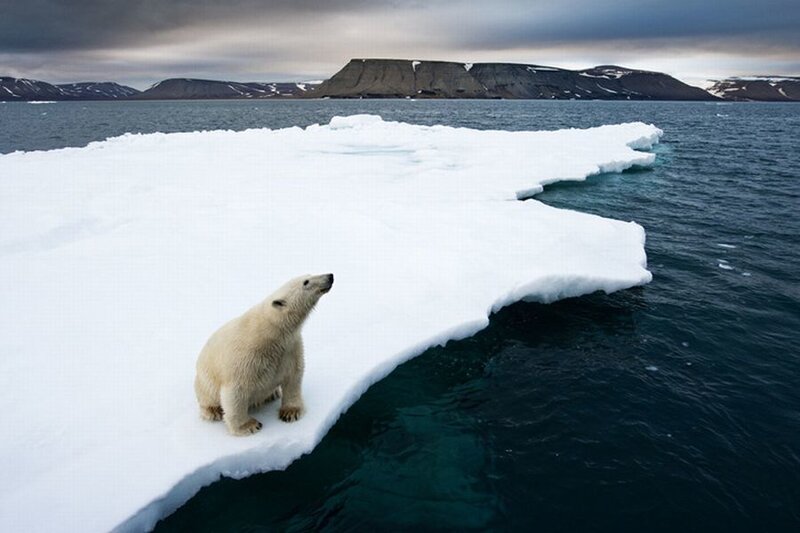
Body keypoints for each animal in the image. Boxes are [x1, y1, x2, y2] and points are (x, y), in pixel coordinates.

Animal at [194, 273, 333, 436]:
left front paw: (290, 412)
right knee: (208, 396)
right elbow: (235, 392)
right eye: (306, 282)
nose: (330, 276)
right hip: (205, 380)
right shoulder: (245, 357)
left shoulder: (290, 348)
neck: (272, 333)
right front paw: (249, 425)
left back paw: (272, 394)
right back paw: (213, 411)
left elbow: (294, 376)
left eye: (309, 275)